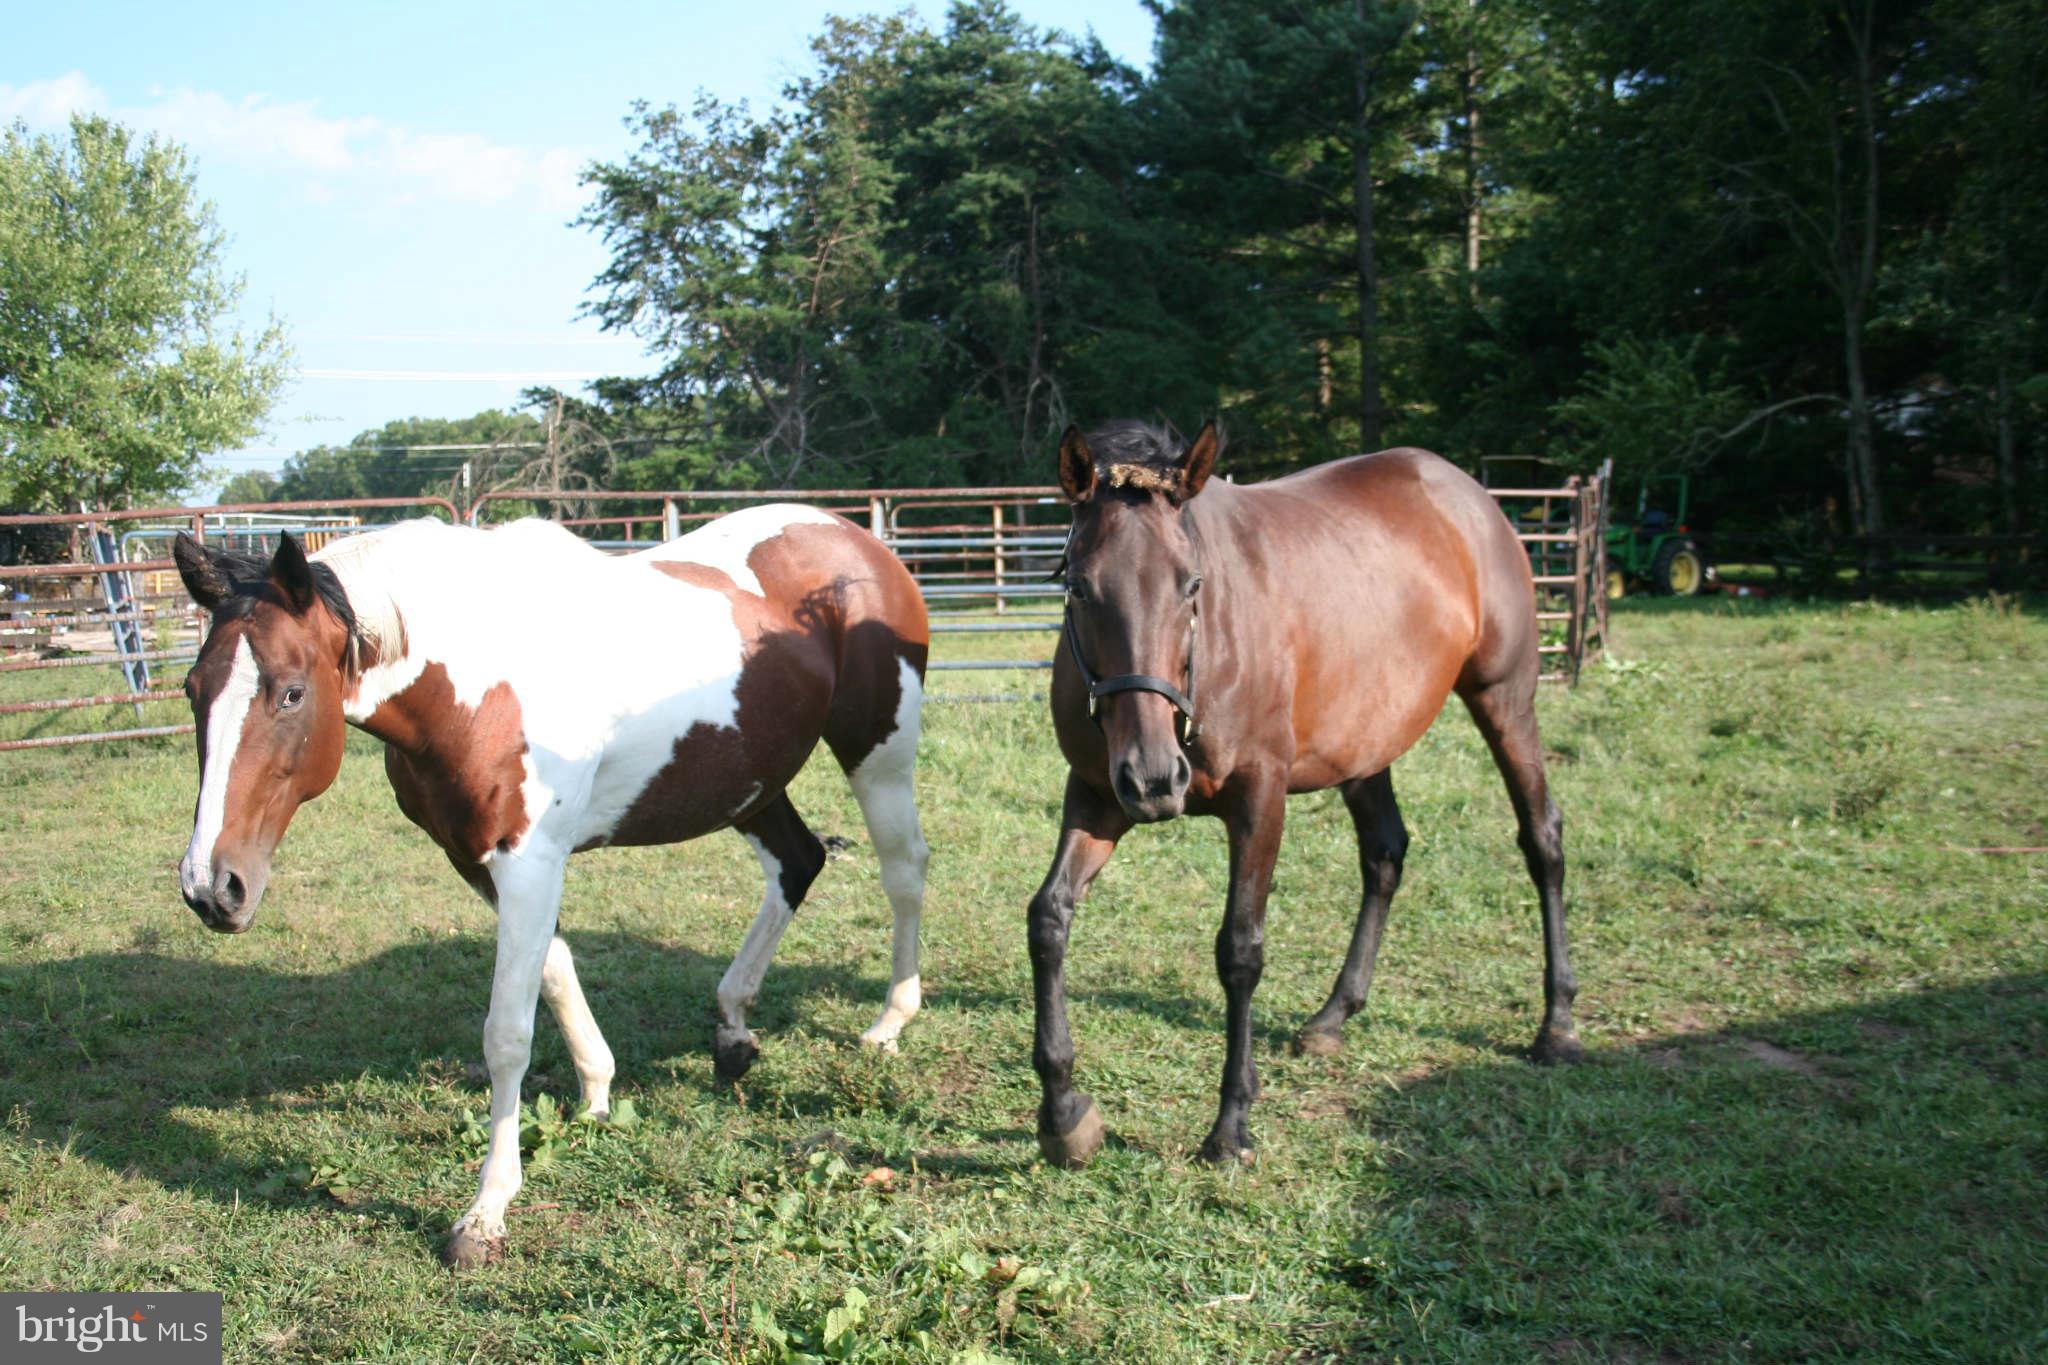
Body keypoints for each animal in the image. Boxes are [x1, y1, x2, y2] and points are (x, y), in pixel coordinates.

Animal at [171, 506, 932, 1266]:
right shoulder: (481, 862)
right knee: (797, 864)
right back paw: (734, 1028)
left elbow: (507, 1033)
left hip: (878, 757)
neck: (479, 679)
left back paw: (890, 1021)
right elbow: (557, 972)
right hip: (751, 782)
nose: (213, 886)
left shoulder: (529, 862)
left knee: (903, 872)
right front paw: (597, 1092)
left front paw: (485, 1212)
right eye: (191, 689)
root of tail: (854, 538)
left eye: (291, 692)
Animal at [1028, 419, 1583, 1169]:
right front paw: (1064, 1112)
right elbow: (1048, 919)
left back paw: (1557, 1024)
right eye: (1080, 587)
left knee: (1541, 838)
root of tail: (1471, 496)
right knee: (1385, 853)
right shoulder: (1096, 795)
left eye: (1191, 583)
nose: (1155, 780)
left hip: (1506, 698)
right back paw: (1333, 1015)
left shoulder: (1260, 798)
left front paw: (1231, 1124)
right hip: (1367, 741)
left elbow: (1240, 949)